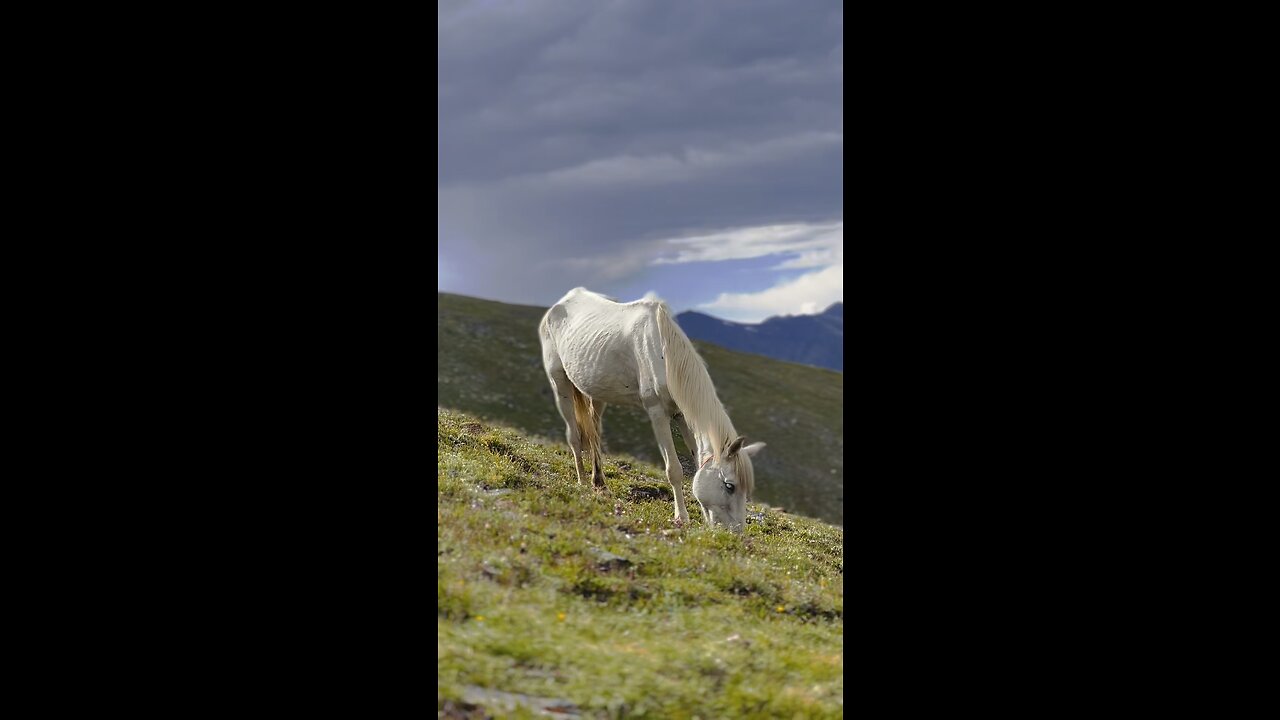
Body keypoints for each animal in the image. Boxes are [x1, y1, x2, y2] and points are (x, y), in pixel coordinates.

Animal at [537, 285, 762, 527]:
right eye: (730, 486)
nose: (735, 532)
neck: (665, 354)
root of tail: (564, 300)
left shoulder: (682, 415)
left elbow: (697, 462)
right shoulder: (658, 413)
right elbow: (674, 470)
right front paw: (681, 517)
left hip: (596, 394)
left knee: (594, 433)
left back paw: (600, 484)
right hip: (560, 383)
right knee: (575, 436)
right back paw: (581, 482)